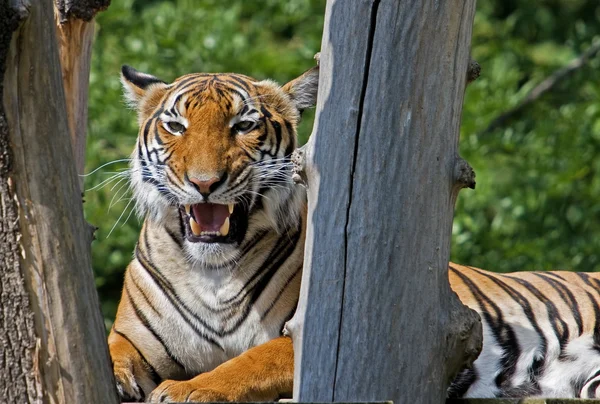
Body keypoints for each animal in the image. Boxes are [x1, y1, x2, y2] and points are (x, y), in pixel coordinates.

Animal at [108, 59, 600, 400]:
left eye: (243, 125)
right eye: (176, 126)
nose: (205, 183)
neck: (213, 271)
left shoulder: (311, 333)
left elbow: (250, 361)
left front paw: (188, 389)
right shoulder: (133, 338)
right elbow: (112, 352)